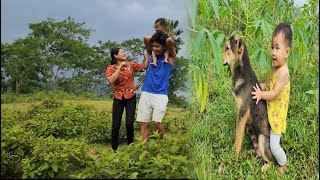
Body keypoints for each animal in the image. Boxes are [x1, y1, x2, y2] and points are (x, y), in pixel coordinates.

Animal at [222, 34, 272, 171]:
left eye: (227, 48)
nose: (219, 56)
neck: (241, 73)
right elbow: (239, 133)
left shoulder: (243, 111)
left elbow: (238, 135)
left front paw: (234, 153)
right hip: (252, 133)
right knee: (256, 152)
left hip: (262, 139)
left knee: (272, 161)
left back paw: (265, 167)